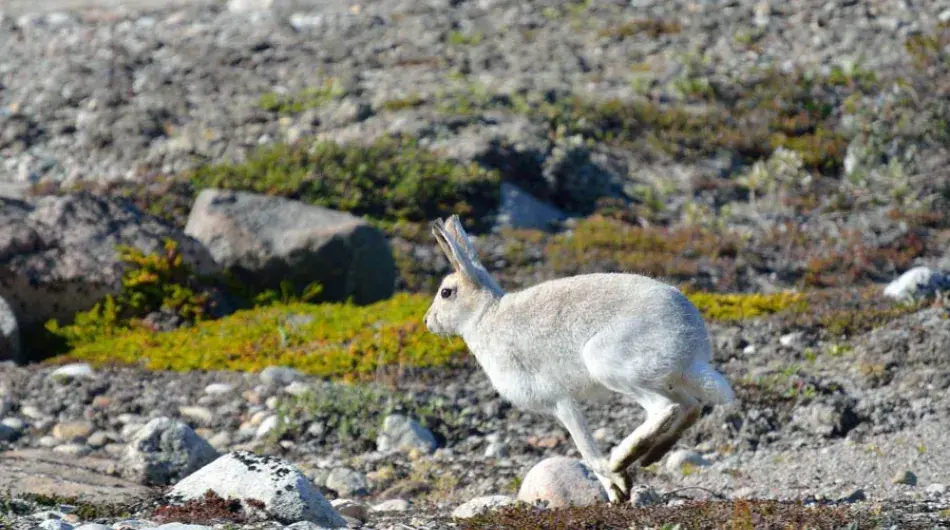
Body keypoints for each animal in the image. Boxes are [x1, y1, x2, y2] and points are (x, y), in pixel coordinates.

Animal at [423, 215, 736, 503]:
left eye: (446, 293)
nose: (427, 321)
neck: (484, 314)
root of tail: (691, 344)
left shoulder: (559, 400)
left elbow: (586, 449)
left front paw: (616, 490)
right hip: (665, 378)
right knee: (690, 407)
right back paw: (650, 456)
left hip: (612, 364)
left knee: (664, 409)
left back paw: (620, 461)